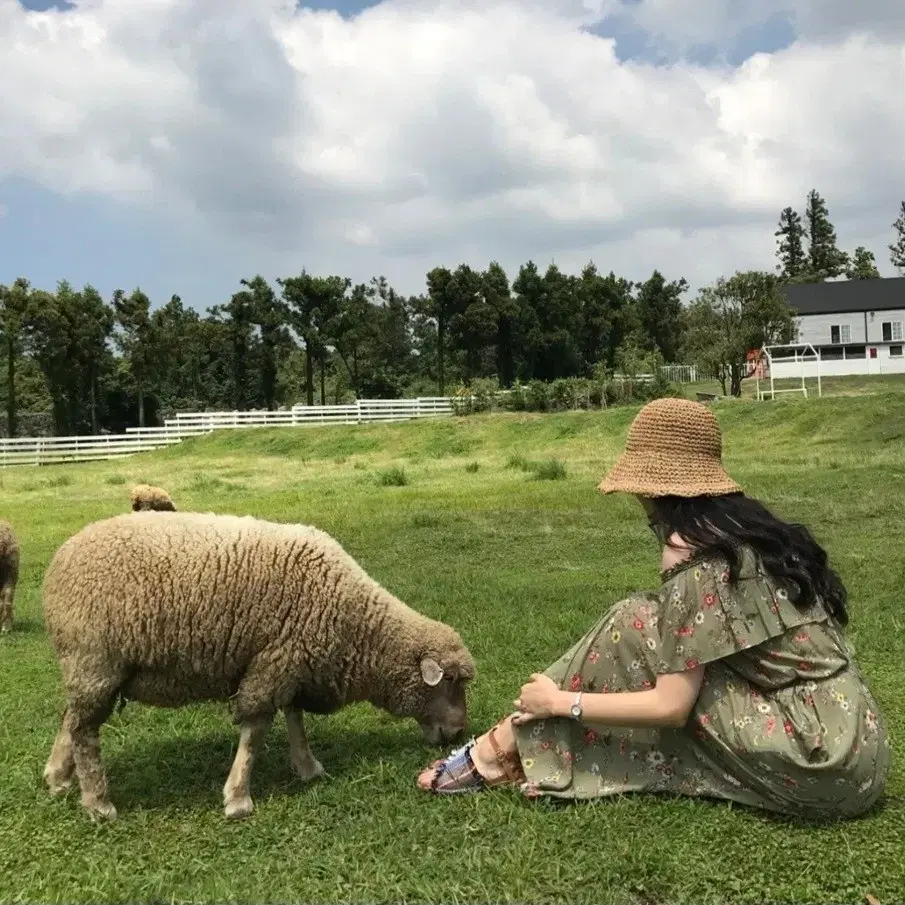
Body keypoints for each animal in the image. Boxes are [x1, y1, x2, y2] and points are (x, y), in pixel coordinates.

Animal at [42, 512, 474, 824]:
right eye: (449, 681)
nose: (458, 733)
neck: (358, 628)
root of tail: (59, 560)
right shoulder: (273, 664)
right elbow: (256, 732)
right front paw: (238, 798)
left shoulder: (293, 660)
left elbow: (295, 718)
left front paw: (307, 767)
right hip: (95, 660)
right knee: (84, 731)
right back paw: (98, 804)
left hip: (88, 668)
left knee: (70, 716)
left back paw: (58, 778)